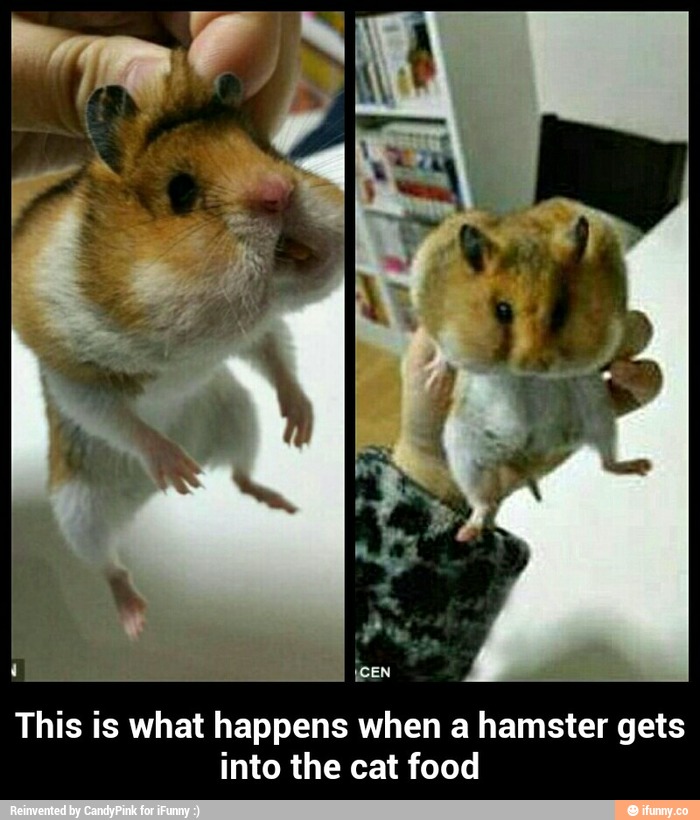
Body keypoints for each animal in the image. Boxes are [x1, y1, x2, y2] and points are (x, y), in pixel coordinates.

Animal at [12, 50, 344, 638]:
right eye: (181, 191)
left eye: (267, 149)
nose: (280, 192)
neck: (187, 345)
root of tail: (138, 503)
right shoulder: (76, 375)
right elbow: (119, 420)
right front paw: (177, 471)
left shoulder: (253, 334)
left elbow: (278, 359)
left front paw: (302, 431)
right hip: (76, 511)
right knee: (109, 563)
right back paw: (139, 609)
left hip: (239, 416)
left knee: (241, 475)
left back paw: (266, 499)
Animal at [411, 197, 650, 542]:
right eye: (502, 310)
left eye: (561, 311)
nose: (534, 365)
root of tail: (529, 450)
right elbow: (441, 348)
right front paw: (434, 378)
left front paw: (626, 369)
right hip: (463, 448)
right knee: (481, 501)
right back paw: (467, 533)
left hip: (599, 416)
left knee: (608, 461)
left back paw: (642, 466)